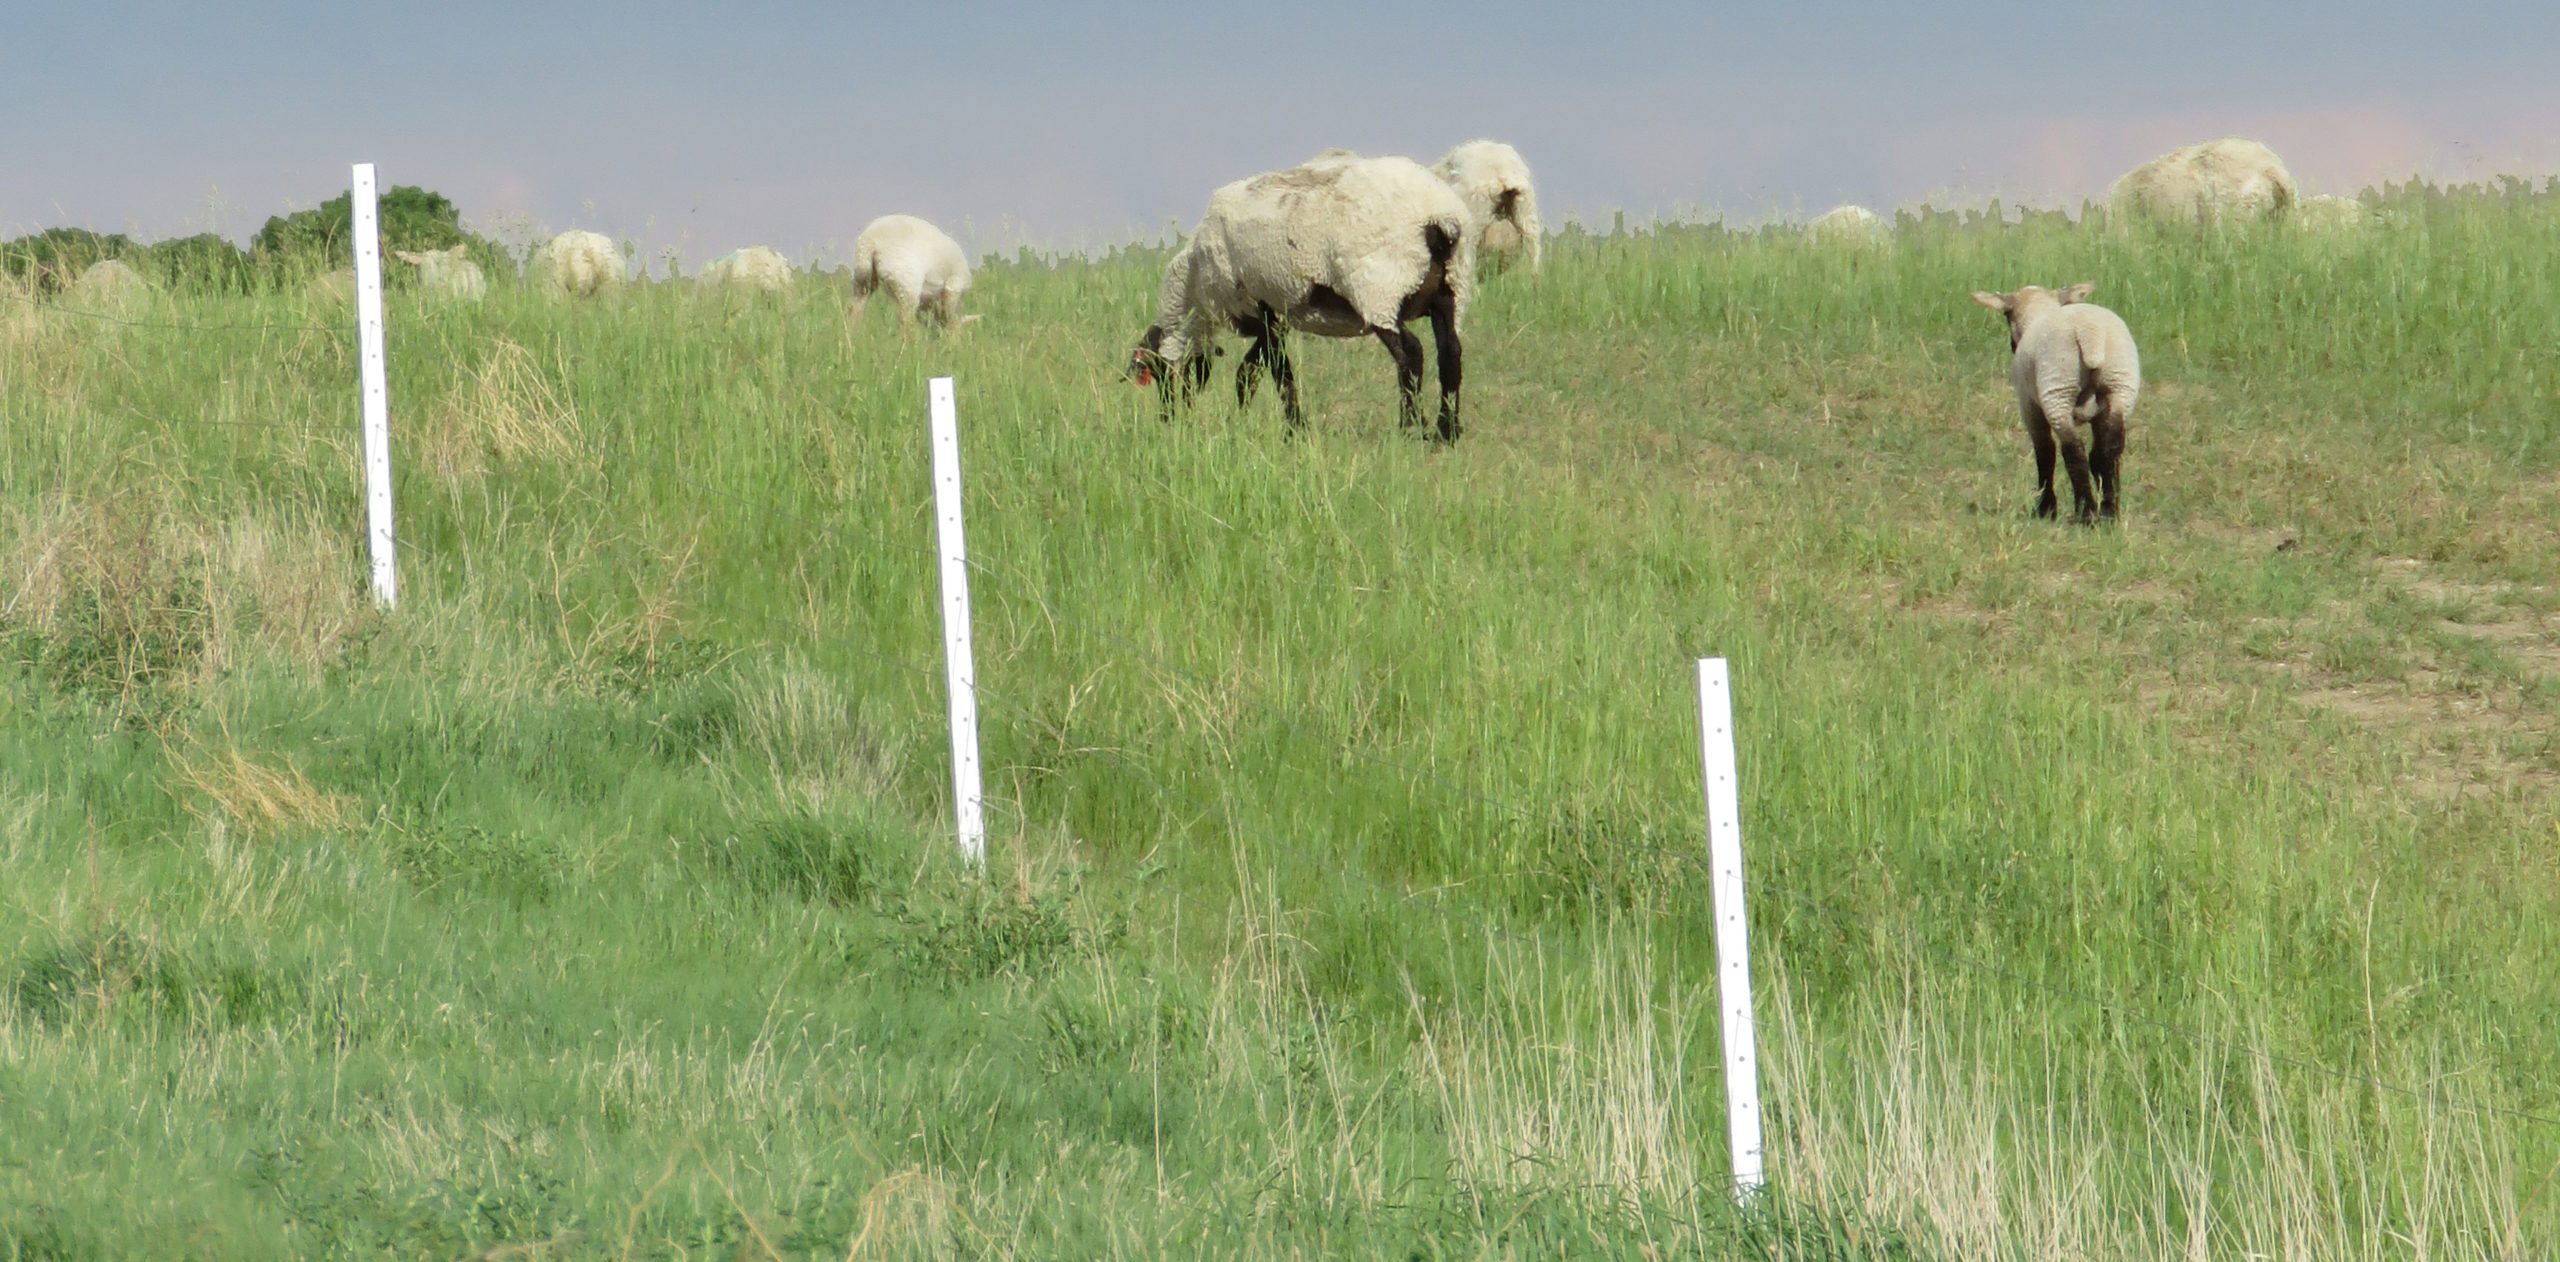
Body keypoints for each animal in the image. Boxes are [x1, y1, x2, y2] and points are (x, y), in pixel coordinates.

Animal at [1131, 151, 1474, 440]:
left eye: (1158, 373)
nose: (1168, 417)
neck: (1195, 286)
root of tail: (1439, 218)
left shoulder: (1259, 309)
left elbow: (1274, 373)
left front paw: (1291, 428)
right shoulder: (1274, 313)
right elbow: (1253, 370)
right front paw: (1251, 420)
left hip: (1380, 287)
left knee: (1411, 353)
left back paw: (1412, 427)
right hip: (1450, 289)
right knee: (1450, 353)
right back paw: (1447, 431)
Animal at [1976, 281, 2140, 522]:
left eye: (2006, 315)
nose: (2011, 345)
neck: (2039, 312)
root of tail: (2090, 334)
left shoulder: (2029, 405)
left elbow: (2044, 451)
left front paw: (2045, 509)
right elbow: (2098, 455)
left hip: (2058, 388)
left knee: (2073, 451)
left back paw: (2086, 513)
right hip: (2120, 384)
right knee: (2110, 448)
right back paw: (2109, 513)